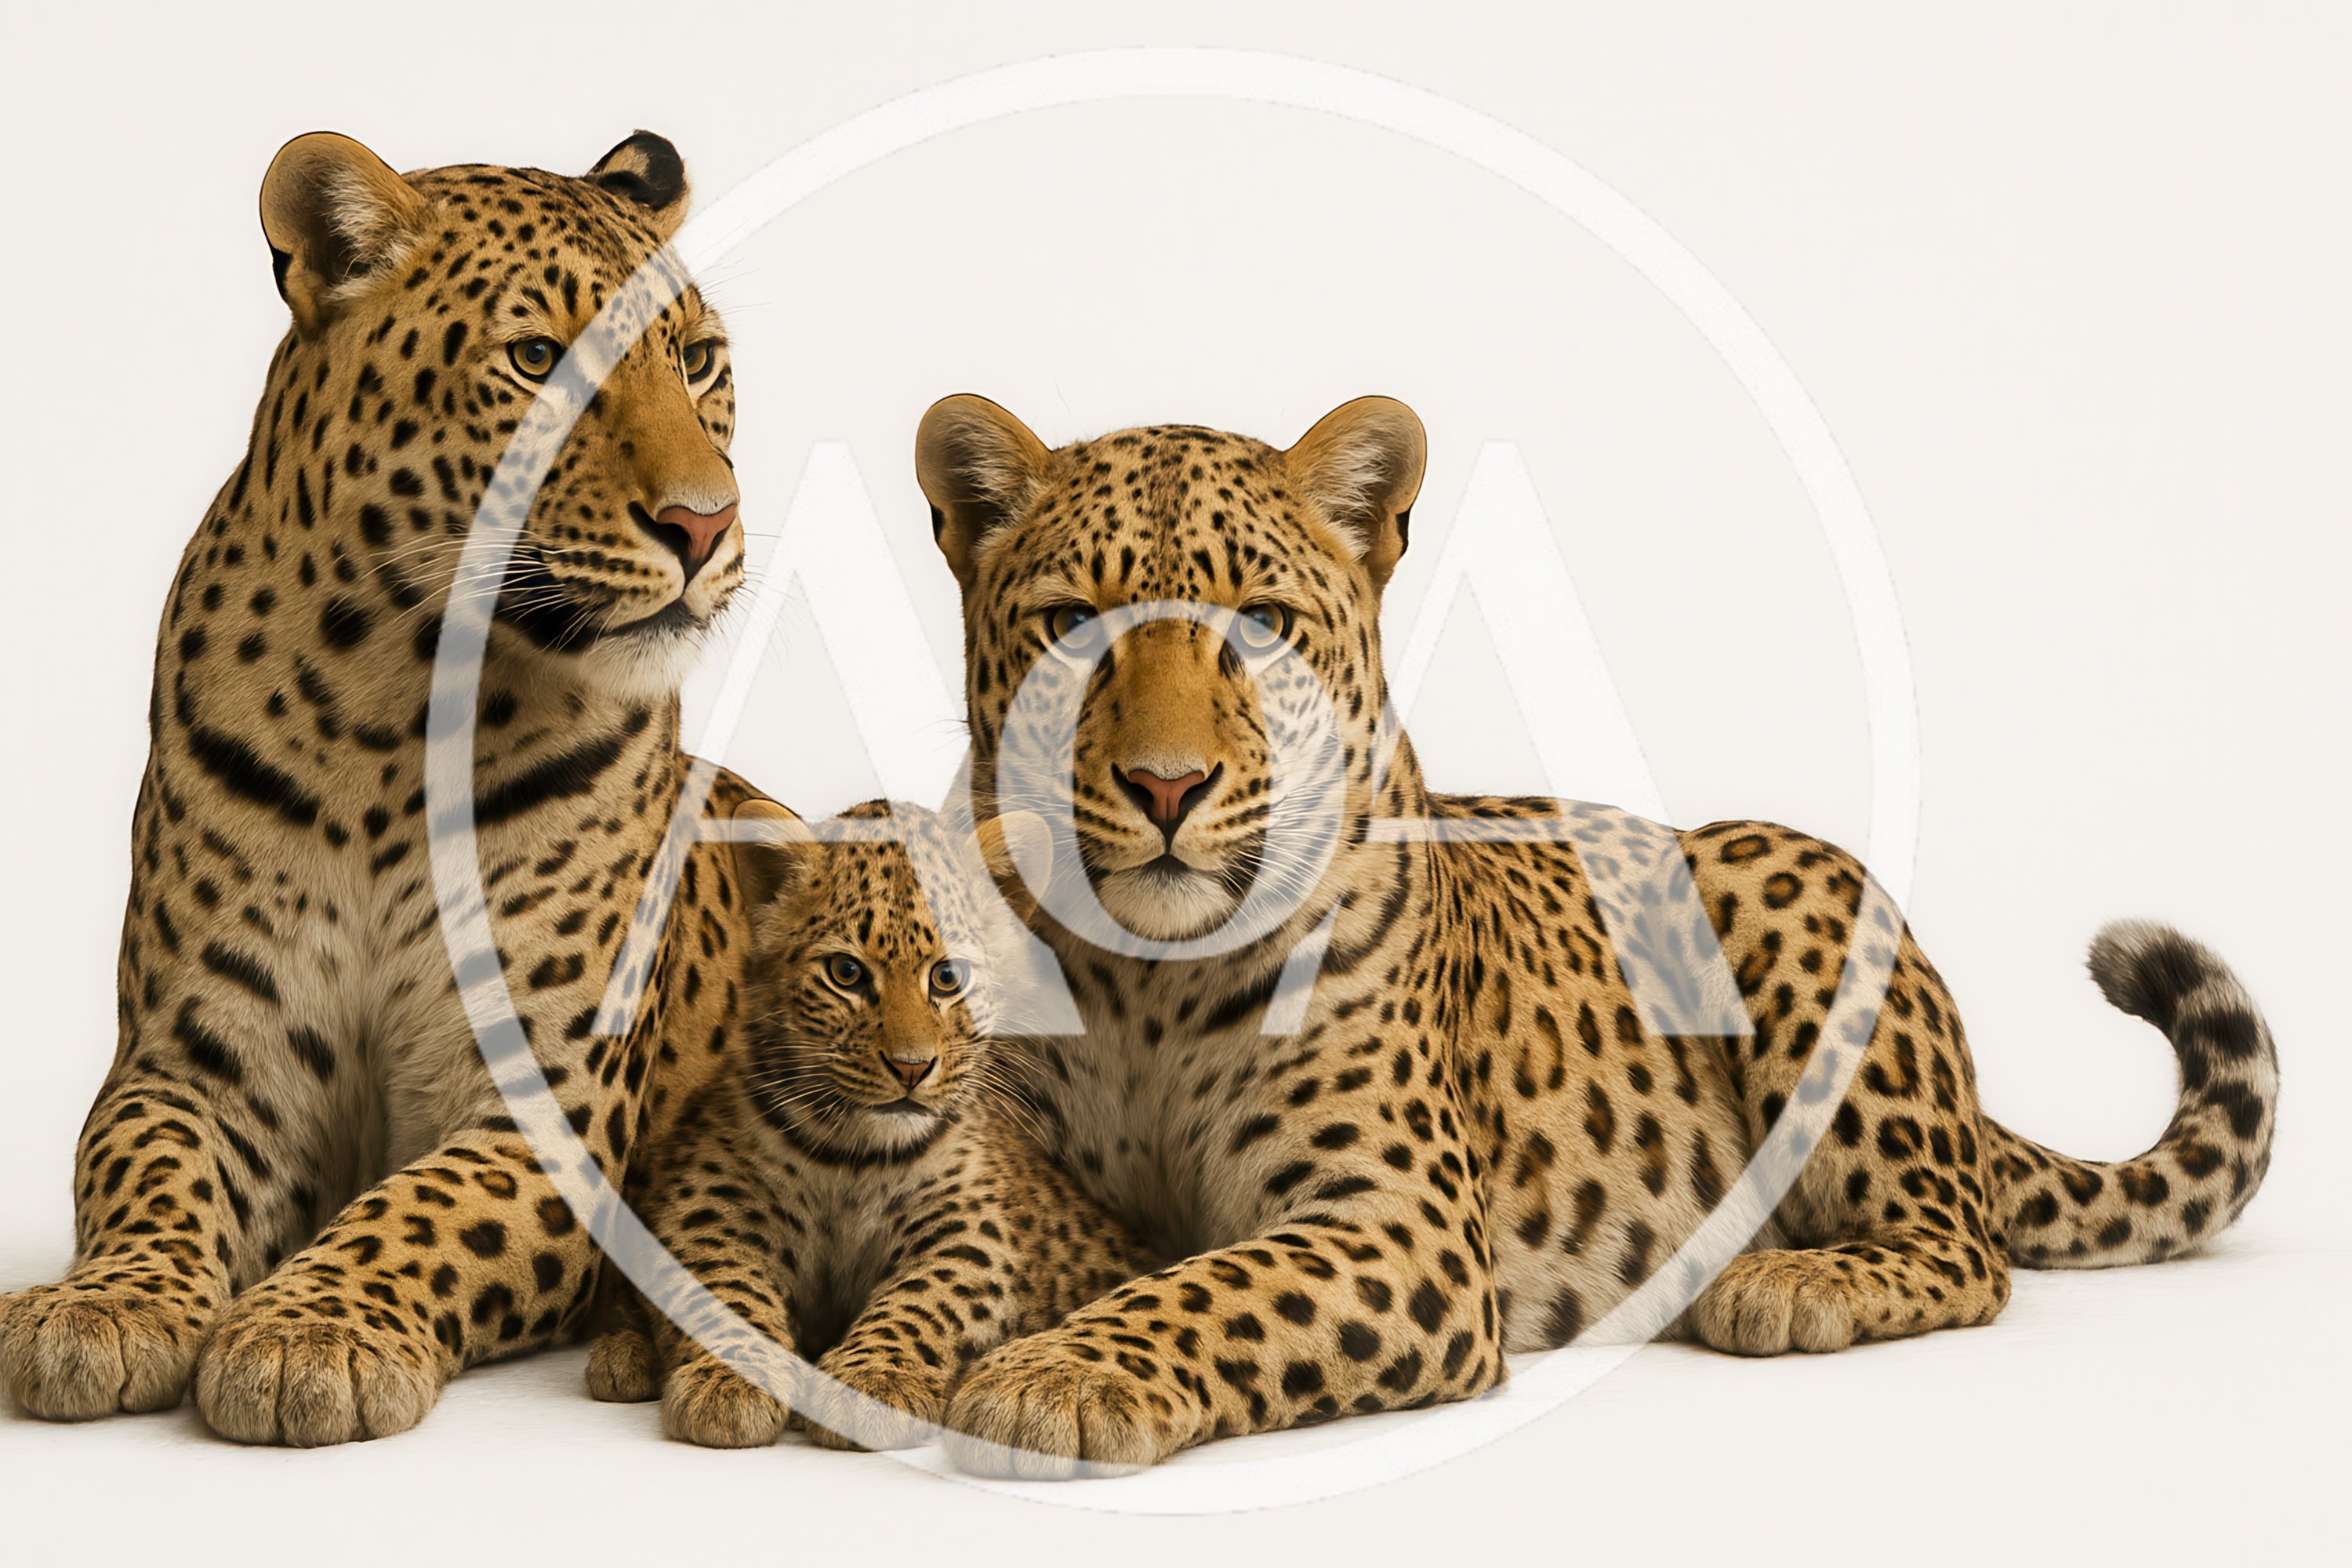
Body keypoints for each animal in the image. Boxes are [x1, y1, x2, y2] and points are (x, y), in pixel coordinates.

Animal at [0, 129, 762, 1445]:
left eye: (699, 361)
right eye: (534, 361)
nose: (705, 525)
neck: (387, 713)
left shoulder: (546, 1103)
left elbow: (423, 1215)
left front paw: (310, 1335)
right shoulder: (197, 1062)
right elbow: (147, 1168)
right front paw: (101, 1305)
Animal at [583, 797, 1154, 1450]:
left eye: (949, 978)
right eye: (847, 974)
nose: (911, 1067)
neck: (851, 1157)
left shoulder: (972, 1228)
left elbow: (928, 1296)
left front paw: (871, 1382)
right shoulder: (707, 1207)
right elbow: (722, 1287)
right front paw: (731, 1381)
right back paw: (623, 1356)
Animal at [909, 392, 2281, 1477]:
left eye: (1260, 624)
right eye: (1070, 626)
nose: (1167, 786)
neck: (1148, 977)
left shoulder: (1401, 1221)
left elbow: (1214, 1289)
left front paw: (1057, 1377)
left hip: (1790, 880)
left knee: (1969, 1247)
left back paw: (1779, 1279)